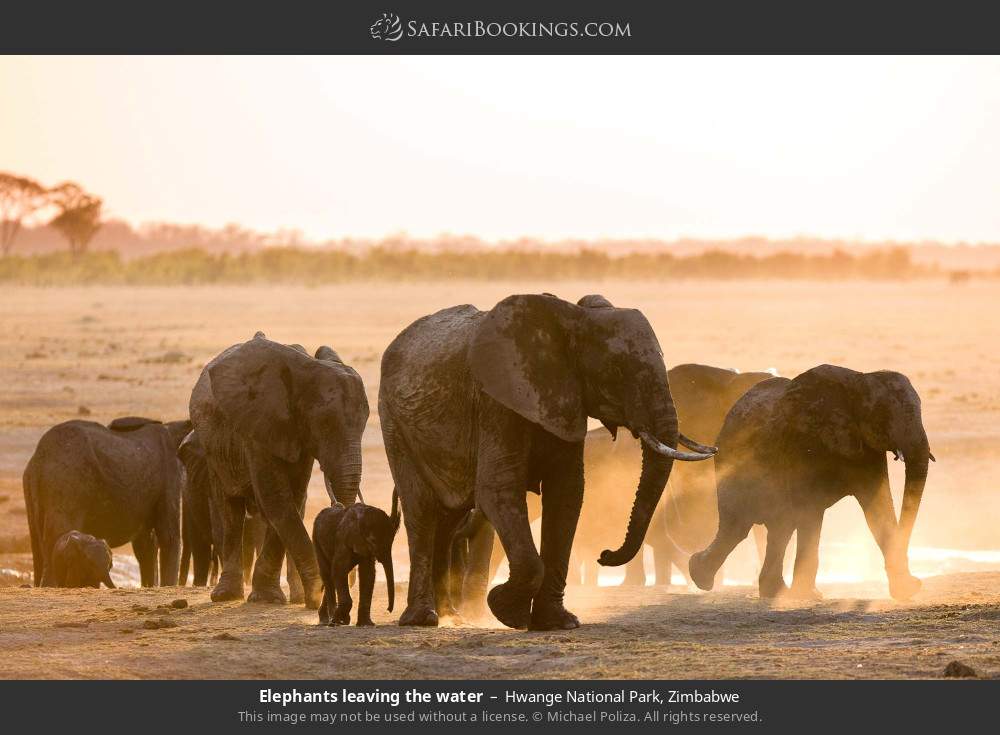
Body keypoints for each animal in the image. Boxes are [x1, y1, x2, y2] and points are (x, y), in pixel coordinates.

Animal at [23, 416, 190, 587]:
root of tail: (39, 459)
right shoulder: (170, 476)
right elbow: (169, 536)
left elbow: (146, 543)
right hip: (64, 482)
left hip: (33, 487)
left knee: (38, 547)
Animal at [189, 332, 369, 608]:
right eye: (324, 424)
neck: (304, 370)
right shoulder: (257, 425)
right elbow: (276, 497)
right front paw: (316, 595)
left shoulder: (296, 434)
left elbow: (291, 497)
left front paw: (276, 598)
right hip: (213, 447)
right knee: (229, 509)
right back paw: (226, 595)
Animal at [312, 491, 400, 626]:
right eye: (372, 541)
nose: (388, 609)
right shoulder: (343, 539)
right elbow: (339, 569)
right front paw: (342, 620)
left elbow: (368, 574)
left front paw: (366, 623)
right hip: (316, 540)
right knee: (327, 573)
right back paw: (331, 621)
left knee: (333, 576)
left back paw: (327, 619)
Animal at [379, 293, 716, 630]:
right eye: (617, 371)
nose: (605, 555)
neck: (572, 320)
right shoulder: (497, 402)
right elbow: (498, 489)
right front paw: (506, 610)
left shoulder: (566, 401)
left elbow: (567, 493)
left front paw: (557, 622)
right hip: (394, 422)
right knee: (422, 509)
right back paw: (423, 618)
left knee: (449, 515)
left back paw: (452, 616)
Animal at [689, 364, 934, 601]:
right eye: (883, 415)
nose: (916, 579)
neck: (859, 381)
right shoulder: (805, 443)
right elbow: (810, 510)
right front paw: (808, 596)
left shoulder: (866, 448)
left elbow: (877, 506)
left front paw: (907, 590)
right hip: (731, 461)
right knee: (741, 526)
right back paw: (701, 575)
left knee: (778, 527)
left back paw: (771, 591)